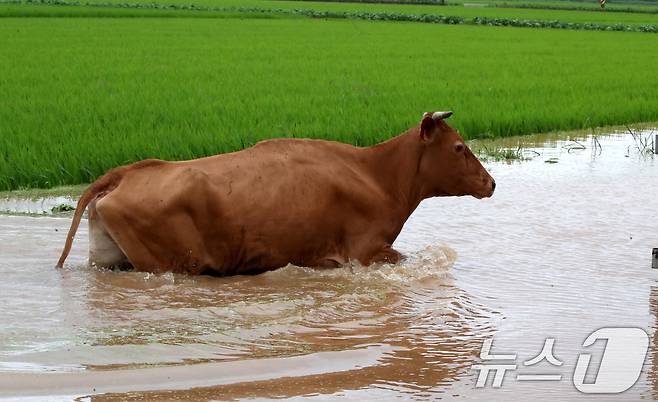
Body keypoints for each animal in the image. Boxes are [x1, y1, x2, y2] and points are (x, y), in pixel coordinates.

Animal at [56, 111, 494, 274]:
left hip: (109, 257)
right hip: (173, 262)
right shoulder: (366, 250)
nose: (491, 182)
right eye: (459, 147)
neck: (378, 175)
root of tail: (128, 171)